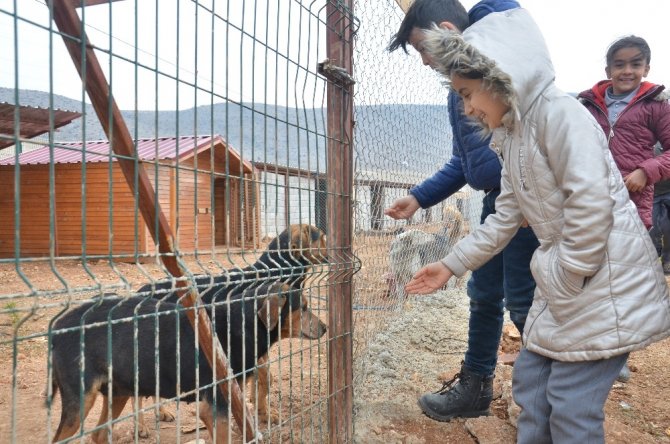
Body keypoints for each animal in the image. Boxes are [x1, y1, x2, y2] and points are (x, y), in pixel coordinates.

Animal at [50, 282, 328, 442]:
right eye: (304, 307)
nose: (325, 328)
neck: (242, 324)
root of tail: (59, 326)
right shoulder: (216, 406)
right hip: (80, 401)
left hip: (117, 392)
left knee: (98, 434)